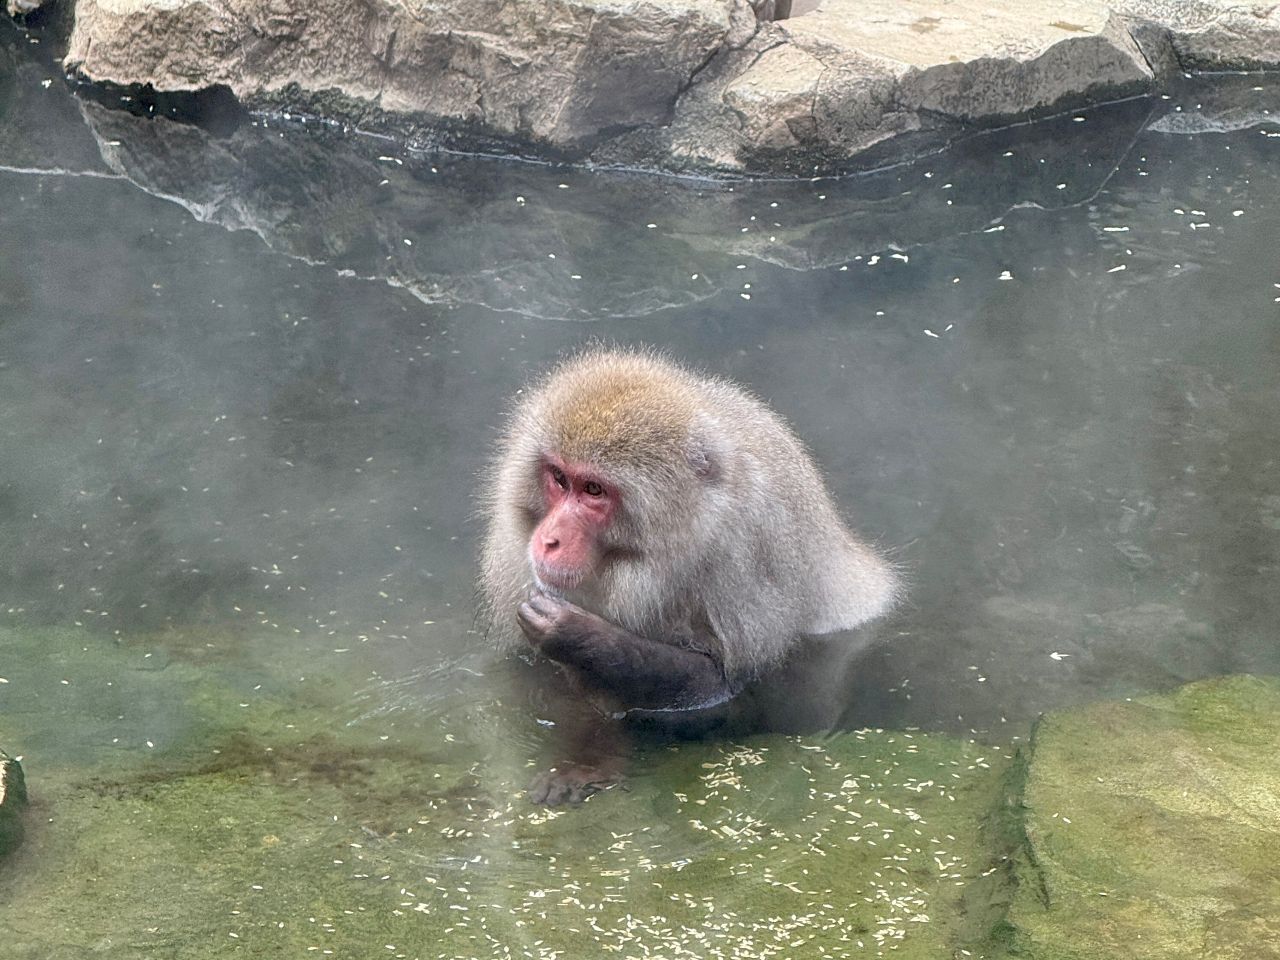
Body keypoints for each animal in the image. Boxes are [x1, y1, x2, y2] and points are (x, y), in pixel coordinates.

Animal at [479, 349, 898, 805]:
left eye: (593, 490)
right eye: (558, 478)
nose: (549, 540)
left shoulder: (743, 558)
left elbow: (729, 689)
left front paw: (579, 636)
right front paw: (589, 755)